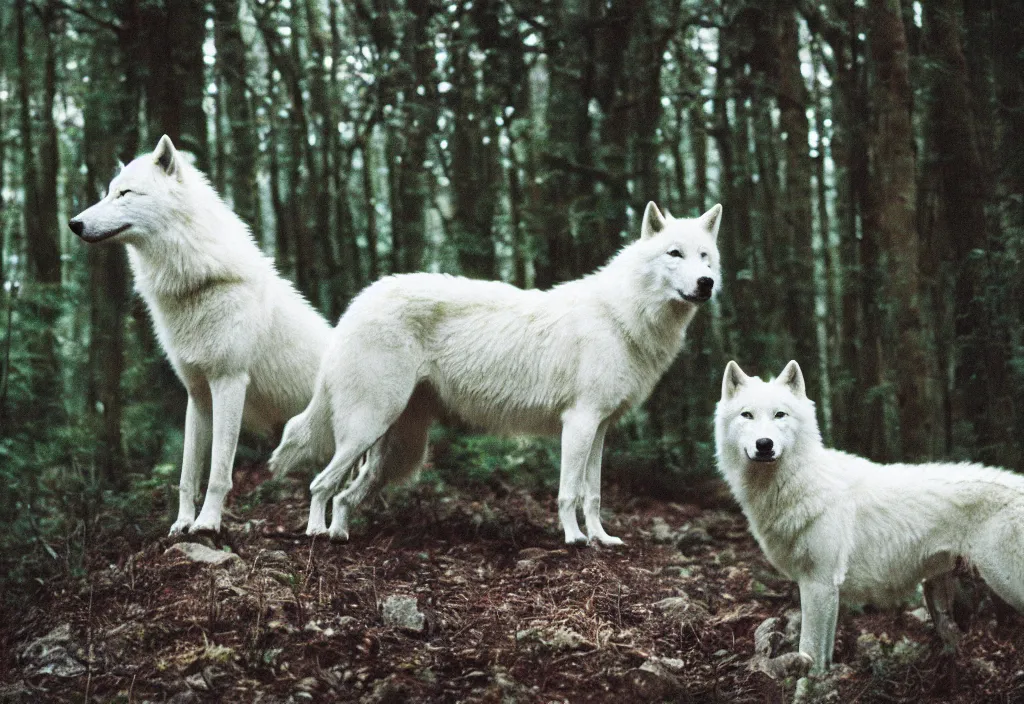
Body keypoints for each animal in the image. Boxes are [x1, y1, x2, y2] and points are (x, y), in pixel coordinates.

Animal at [68, 135, 329, 536]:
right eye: (108, 192)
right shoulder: (197, 393)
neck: (195, 282)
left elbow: (219, 473)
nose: (74, 223)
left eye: (125, 193)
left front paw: (207, 524)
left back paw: (322, 529)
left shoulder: (229, 383)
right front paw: (181, 524)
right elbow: (187, 475)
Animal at [268, 202, 724, 544]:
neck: (623, 316)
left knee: (345, 494)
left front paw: (601, 539)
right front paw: (574, 539)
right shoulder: (578, 423)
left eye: (705, 256)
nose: (707, 283)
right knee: (320, 483)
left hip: (399, 450)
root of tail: (358, 302)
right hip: (369, 427)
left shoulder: (600, 429)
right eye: (674, 254)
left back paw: (340, 533)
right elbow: (568, 493)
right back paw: (316, 533)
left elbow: (593, 494)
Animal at [716, 360, 1024, 675]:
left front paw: (809, 680)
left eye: (780, 414)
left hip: (1006, 582)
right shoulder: (824, 589)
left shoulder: (819, 582)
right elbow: (824, 652)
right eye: (747, 415)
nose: (764, 444)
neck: (798, 481)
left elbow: (810, 649)